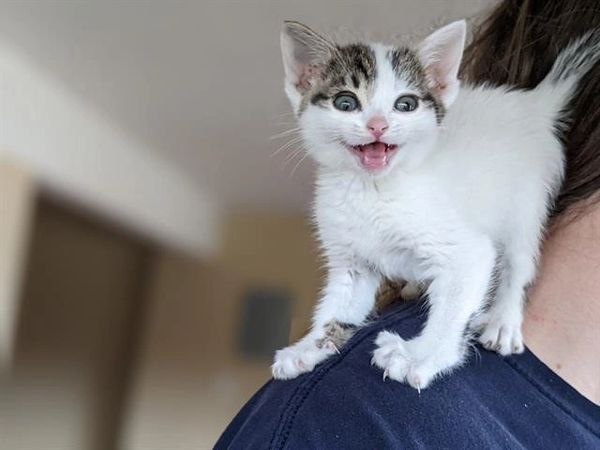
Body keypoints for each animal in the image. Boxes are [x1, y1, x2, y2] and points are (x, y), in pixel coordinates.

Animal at [274, 19, 600, 388]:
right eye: (346, 102)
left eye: (405, 104)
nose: (377, 125)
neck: (373, 191)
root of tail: (531, 104)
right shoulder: (352, 261)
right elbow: (338, 307)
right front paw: (308, 347)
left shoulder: (469, 251)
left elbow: (453, 307)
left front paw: (421, 356)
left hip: (526, 202)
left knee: (518, 261)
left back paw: (503, 319)